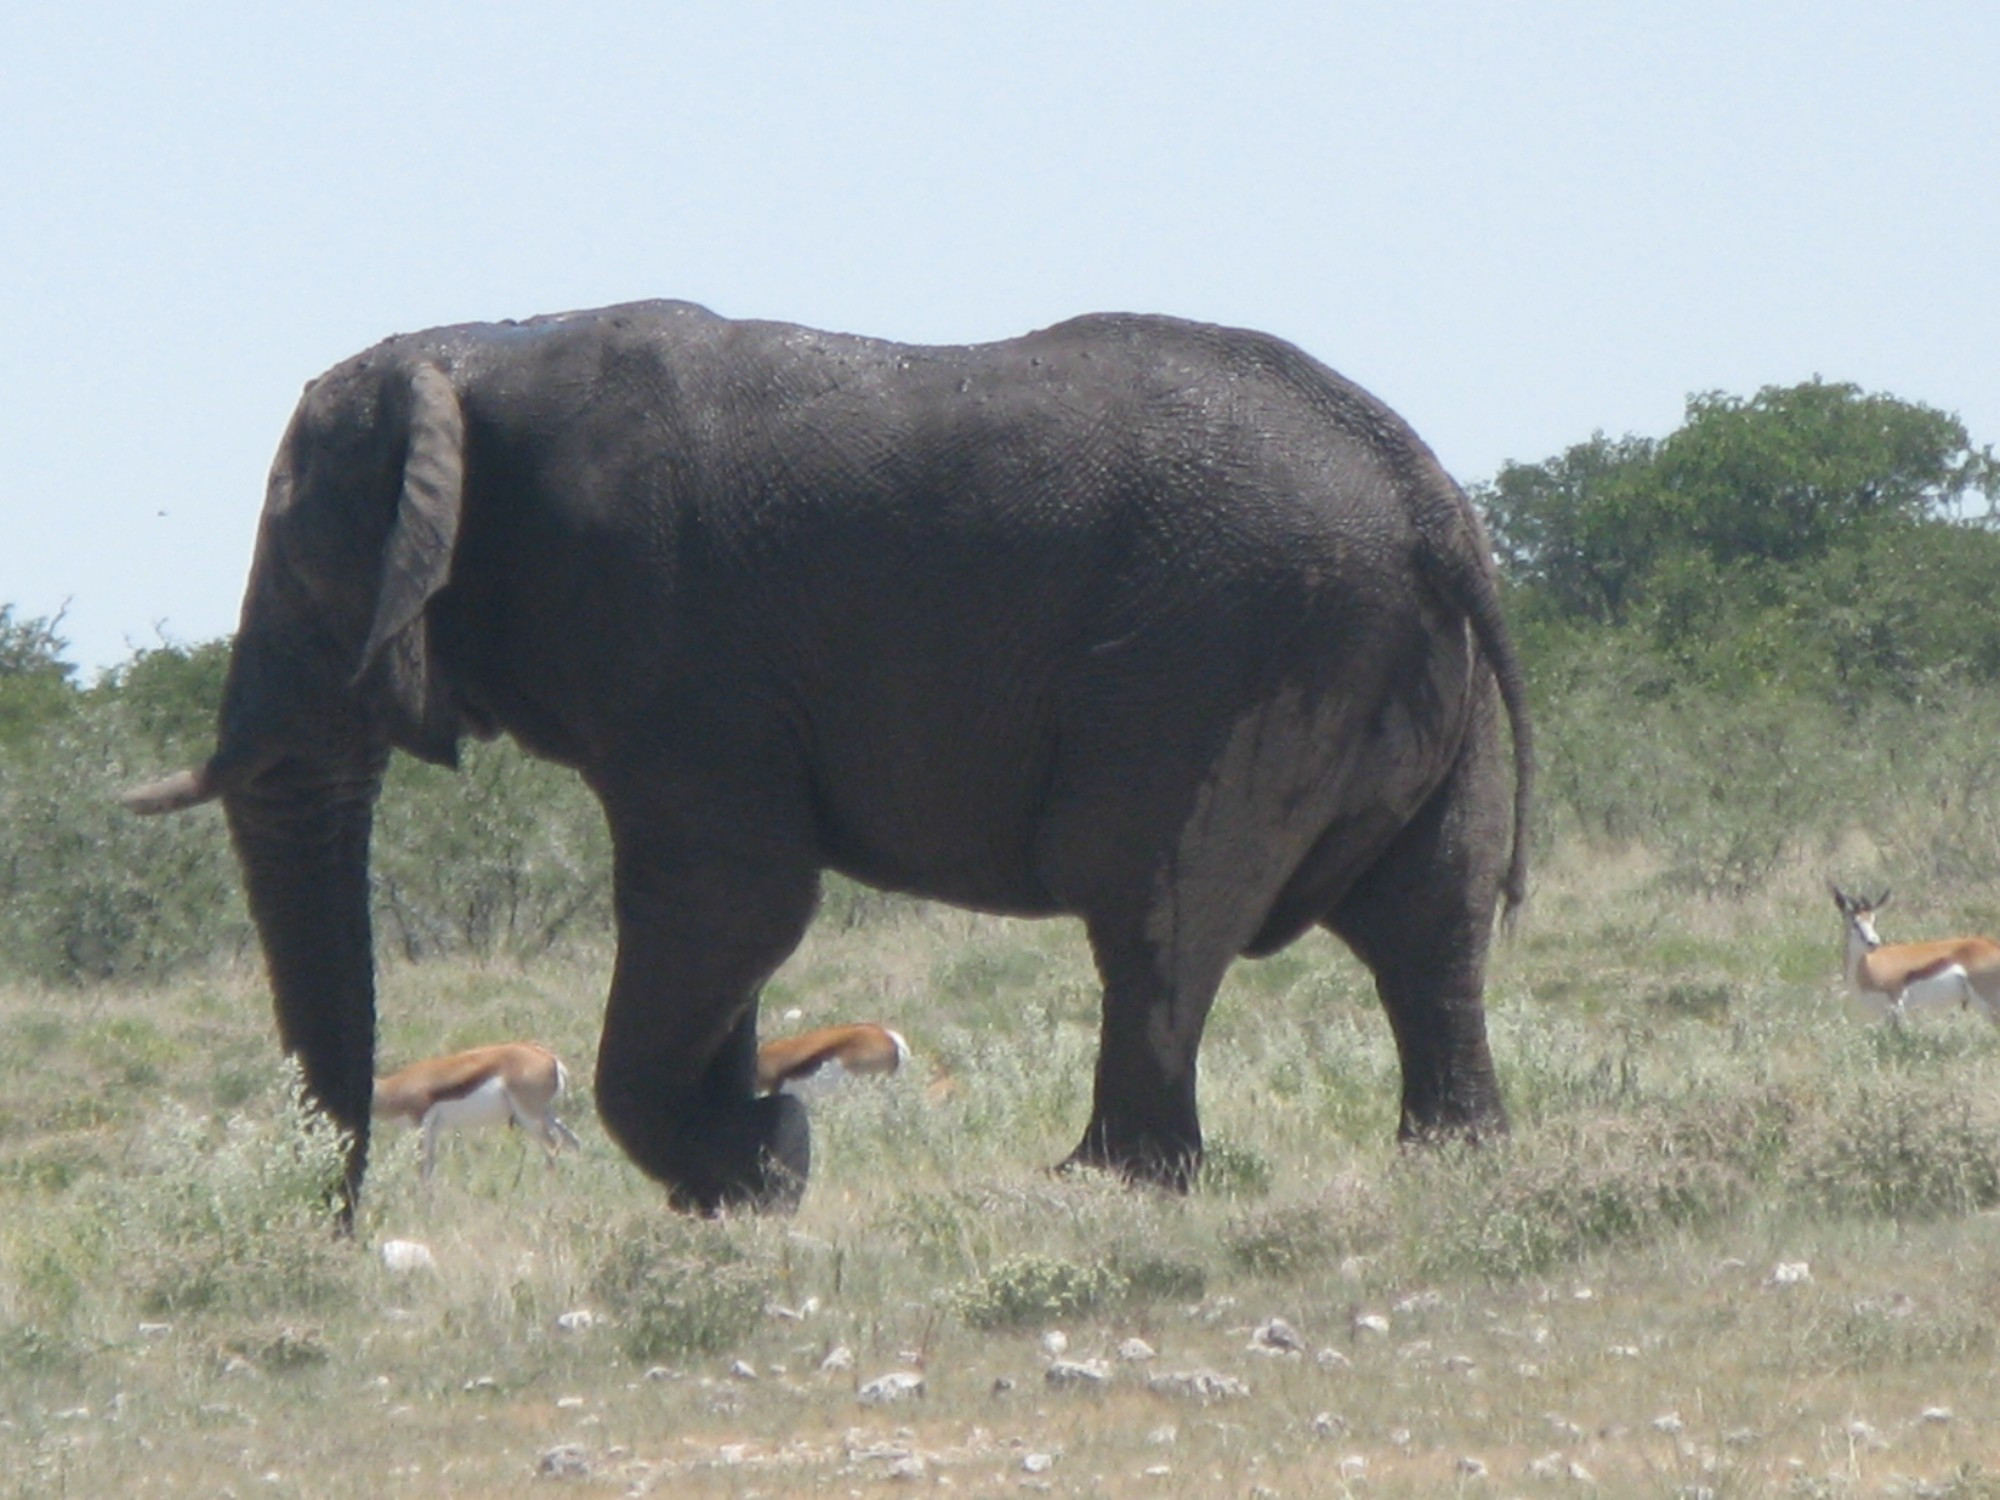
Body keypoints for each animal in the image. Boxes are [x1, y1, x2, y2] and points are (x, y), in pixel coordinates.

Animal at [374, 1040, 580, 1184]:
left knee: (552, 1148)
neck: (393, 1088)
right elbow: (429, 1166)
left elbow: (421, 1167)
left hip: (529, 1116)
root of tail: (550, 1058)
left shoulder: (421, 1125)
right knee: (573, 1142)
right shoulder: (433, 1130)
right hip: (545, 1113)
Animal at [1832, 888, 2000, 1032]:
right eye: (1854, 922)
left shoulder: (1896, 1004)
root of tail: (1992, 945)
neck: (1867, 965)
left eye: (1874, 921)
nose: (1873, 942)